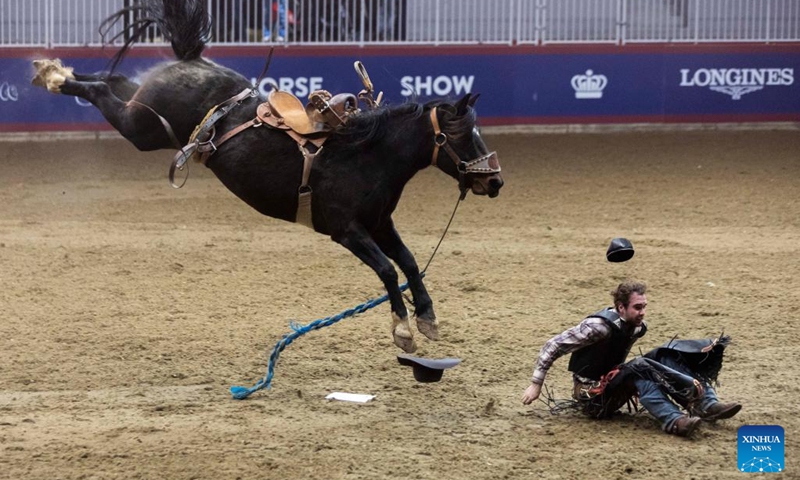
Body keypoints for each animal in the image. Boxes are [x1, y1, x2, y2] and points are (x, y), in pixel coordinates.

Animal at [34, 0, 504, 352]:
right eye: (461, 135)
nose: (494, 181)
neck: (366, 154)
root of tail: (193, 60)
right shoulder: (347, 230)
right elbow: (389, 270)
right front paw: (403, 331)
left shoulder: (379, 223)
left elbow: (408, 262)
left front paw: (427, 317)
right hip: (142, 129)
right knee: (102, 90)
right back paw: (53, 76)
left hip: (142, 112)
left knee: (113, 78)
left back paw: (59, 69)